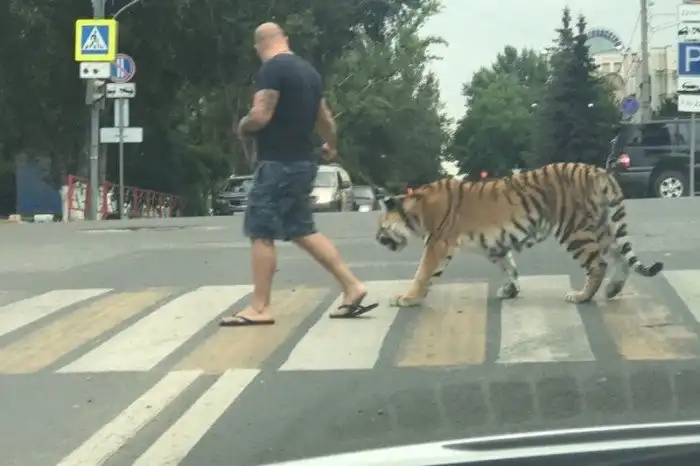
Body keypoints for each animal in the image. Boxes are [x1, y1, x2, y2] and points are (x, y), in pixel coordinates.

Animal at [375, 162, 663, 307]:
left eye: (380, 227)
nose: (377, 239)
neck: (416, 212)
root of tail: (598, 171)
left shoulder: (437, 243)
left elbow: (422, 273)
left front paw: (407, 298)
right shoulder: (494, 245)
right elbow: (509, 267)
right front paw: (510, 290)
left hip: (575, 230)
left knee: (598, 264)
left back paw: (582, 296)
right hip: (603, 226)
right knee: (620, 257)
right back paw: (613, 289)